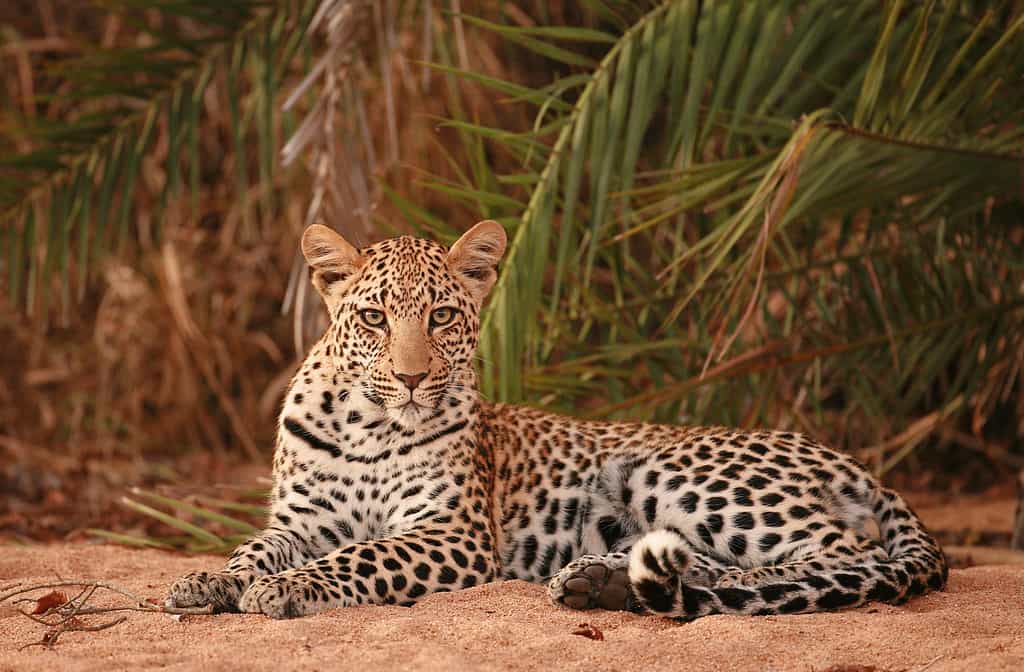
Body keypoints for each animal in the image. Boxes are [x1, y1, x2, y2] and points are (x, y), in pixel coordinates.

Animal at [166, 220, 947, 620]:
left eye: (441, 316)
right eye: (374, 318)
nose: (413, 378)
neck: (368, 426)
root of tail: (855, 465)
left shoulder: (453, 532)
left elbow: (362, 557)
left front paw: (287, 589)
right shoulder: (302, 522)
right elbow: (251, 548)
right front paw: (210, 582)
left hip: (674, 472)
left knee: (844, 555)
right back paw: (603, 580)